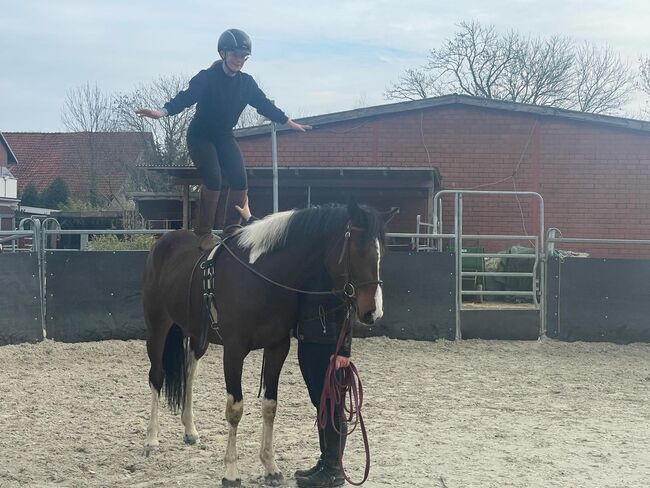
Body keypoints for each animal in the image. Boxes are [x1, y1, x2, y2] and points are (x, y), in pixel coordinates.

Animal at [142, 200, 392, 486]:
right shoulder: (234, 351)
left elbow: (270, 406)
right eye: (358, 249)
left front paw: (270, 467)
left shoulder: (277, 348)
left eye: (381, 253)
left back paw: (190, 430)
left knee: (189, 372)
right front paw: (231, 472)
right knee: (157, 376)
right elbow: (235, 410)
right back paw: (151, 439)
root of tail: (163, 242)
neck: (262, 276)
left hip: (197, 335)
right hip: (158, 327)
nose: (374, 311)